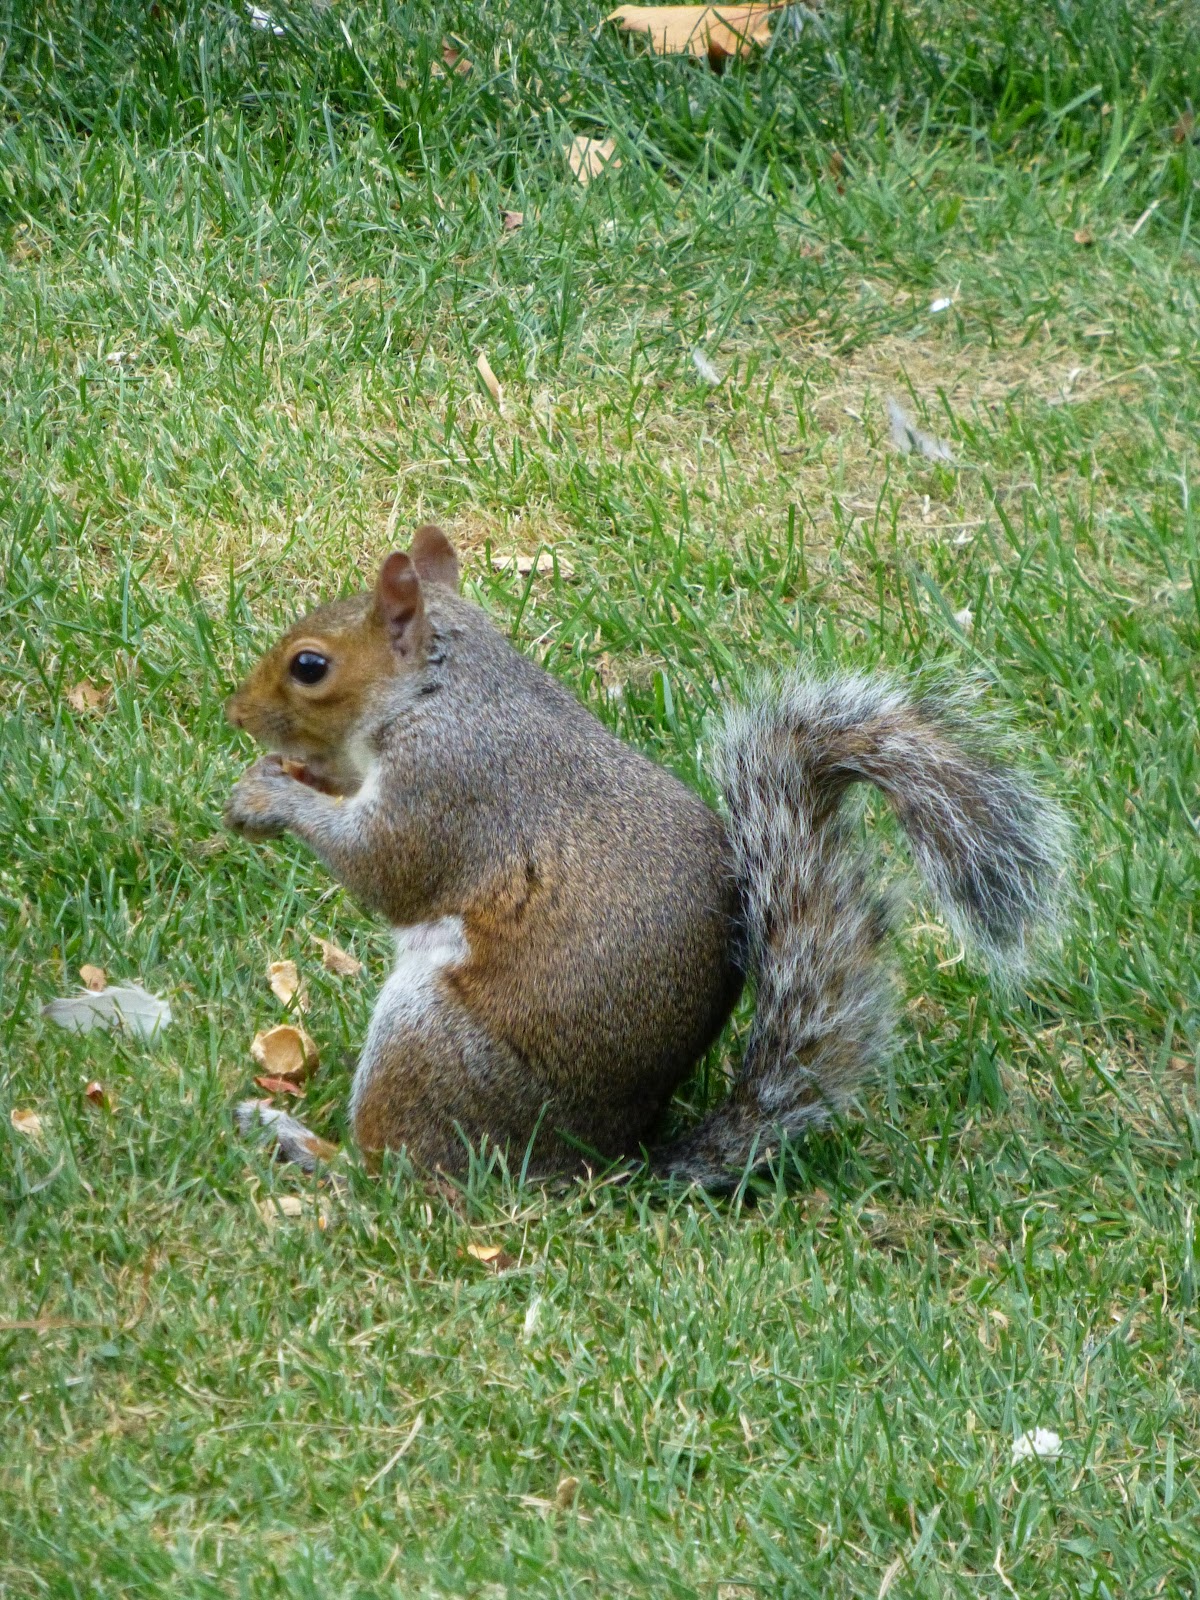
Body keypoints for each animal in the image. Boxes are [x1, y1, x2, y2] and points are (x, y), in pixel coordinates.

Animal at [225, 524, 1068, 1188]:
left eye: (309, 666)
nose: (235, 713)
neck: (438, 691)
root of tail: (595, 1163)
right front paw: (293, 776)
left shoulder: (448, 786)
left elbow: (385, 867)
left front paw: (271, 798)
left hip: (430, 1044)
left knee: (398, 1175)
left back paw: (306, 1148)